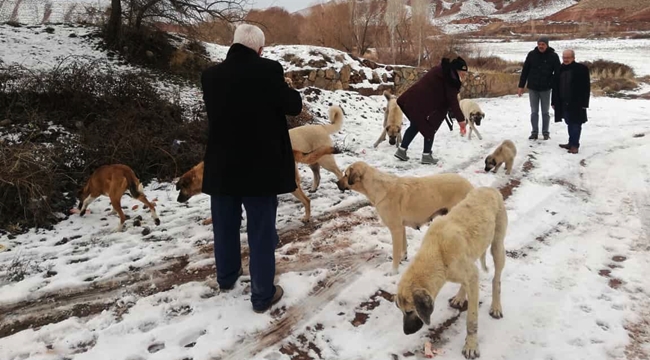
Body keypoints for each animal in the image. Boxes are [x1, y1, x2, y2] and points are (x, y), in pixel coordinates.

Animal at [340, 162, 470, 274]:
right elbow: (403, 246)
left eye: (346, 175)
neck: (377, 187)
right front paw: (403, 258)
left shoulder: (395, 229)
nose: (337, 183)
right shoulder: (401, 227)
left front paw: (393, 271)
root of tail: (470, 186)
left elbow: (395, 252)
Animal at [394, 187, 506, 358]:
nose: (406, 332)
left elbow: (472, 320)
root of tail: (489, 188)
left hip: (497, 247)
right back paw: (460, 297)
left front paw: (471, 346)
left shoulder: (472, 277)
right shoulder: (467, 273)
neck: (437, 252)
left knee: (496, 280)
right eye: (400, 310)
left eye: (410, 311)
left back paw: (496, 306)